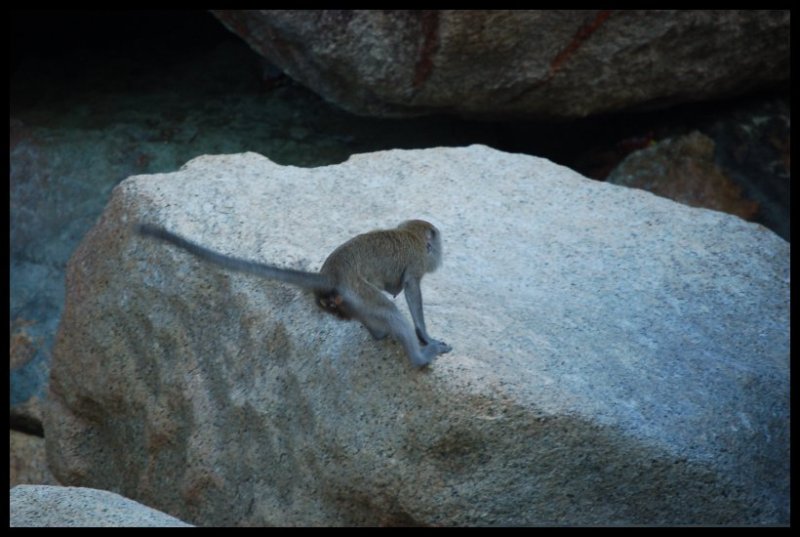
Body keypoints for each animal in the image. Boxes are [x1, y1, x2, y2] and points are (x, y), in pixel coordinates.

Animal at [136, 220, 452, 369]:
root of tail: (330, 274)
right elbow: (411, 292)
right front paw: (426, 337)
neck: (411, 236)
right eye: (437, 246)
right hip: (359, 290)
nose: (441, 255)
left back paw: (378, 334)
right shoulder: (415, 266)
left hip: (351, 299)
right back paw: (420, 357)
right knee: (389, 310)